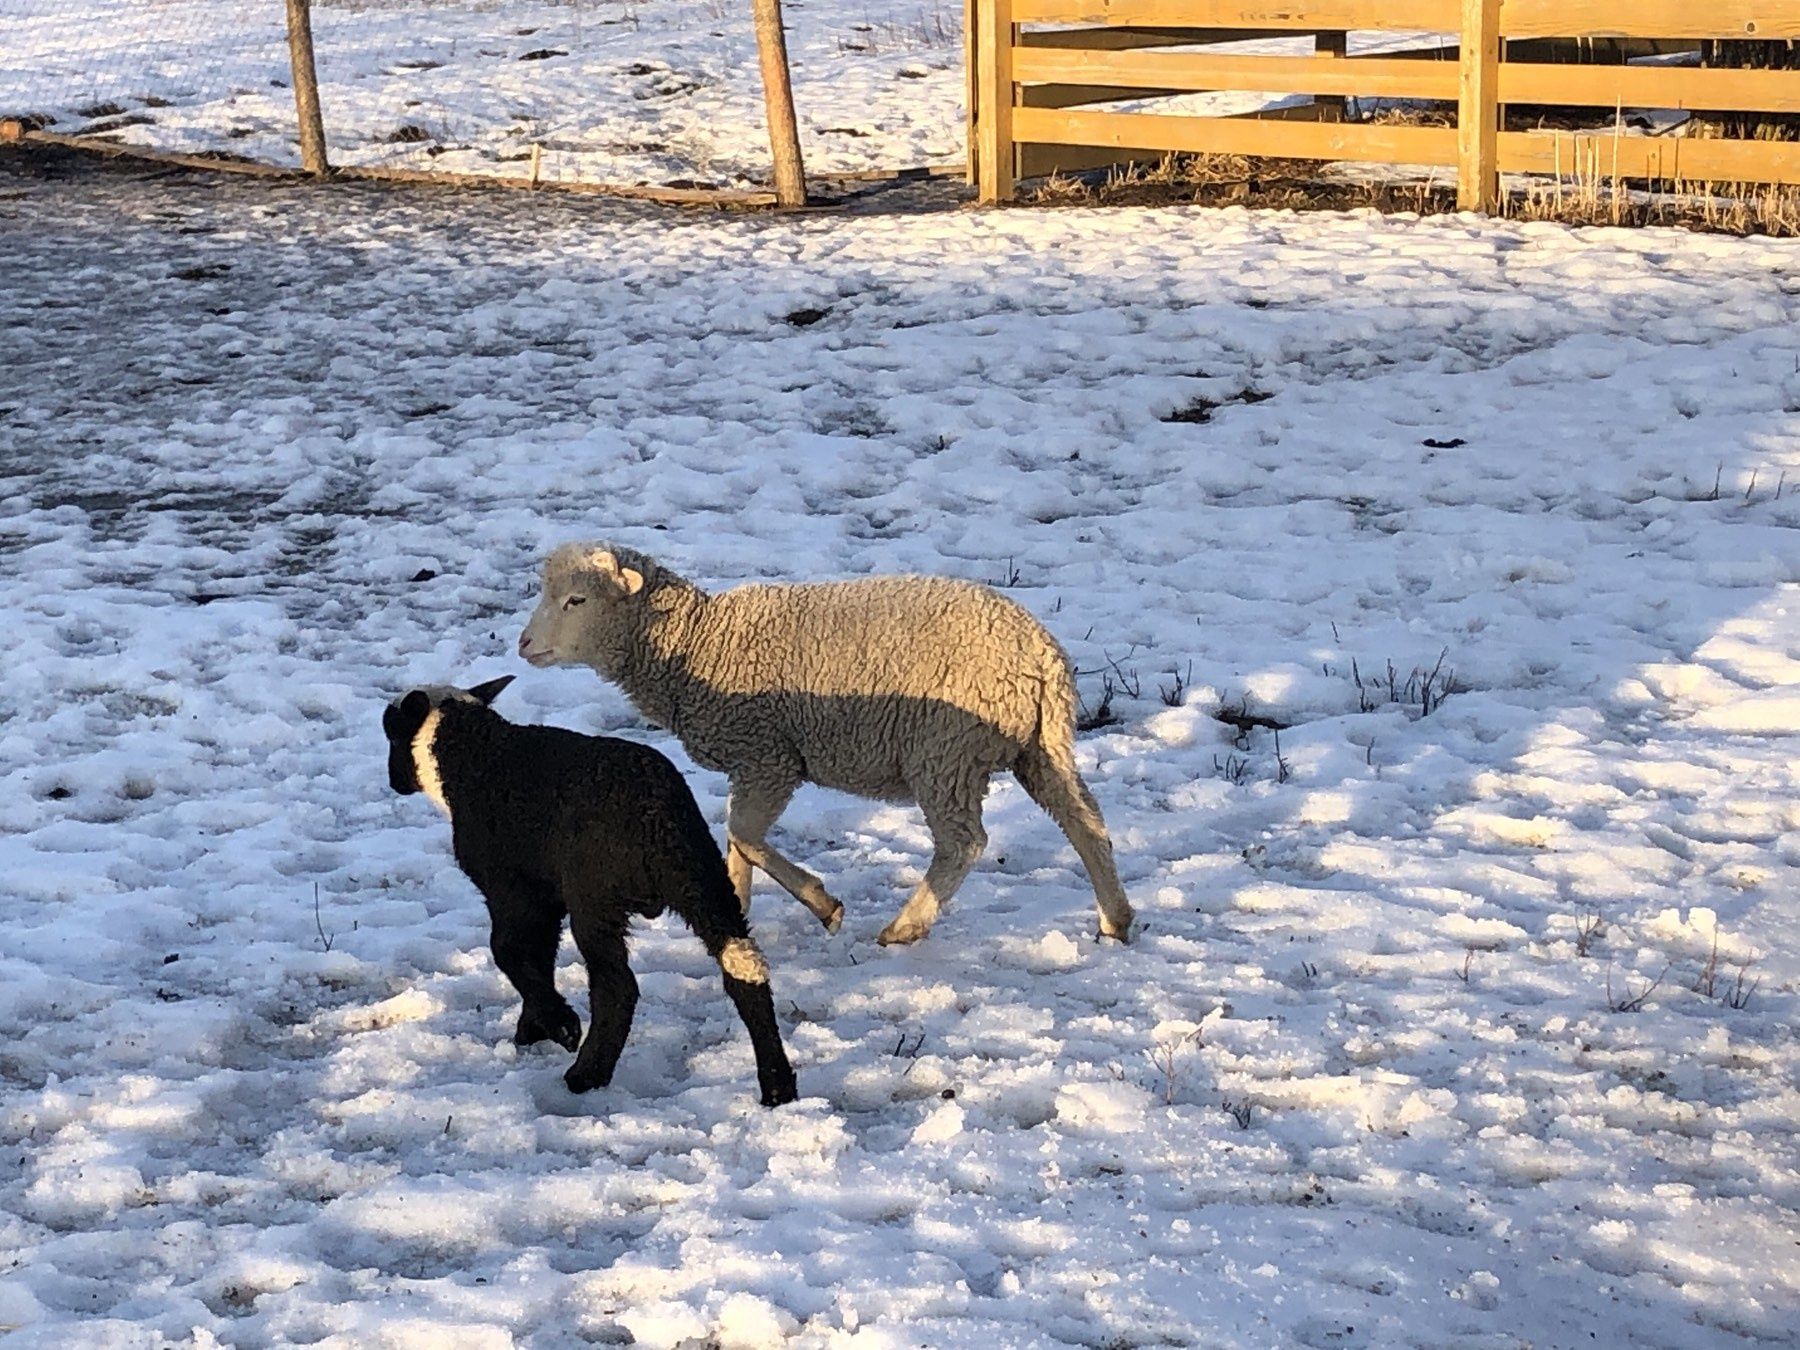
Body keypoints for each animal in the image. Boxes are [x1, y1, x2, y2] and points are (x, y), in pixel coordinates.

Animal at [383, 676, 799, 1108]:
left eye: (390, 731)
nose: (393, 781)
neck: (469, 751)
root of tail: (658, 820)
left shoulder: (514, 892)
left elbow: (509, 952)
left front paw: (561, 1025)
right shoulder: (546, 899)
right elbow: (540, 957)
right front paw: (535, 1027)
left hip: (594, 900)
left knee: (617, 987)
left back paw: (587, 1074)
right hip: (706, 883)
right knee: (744, 970)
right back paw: (777, 1085)